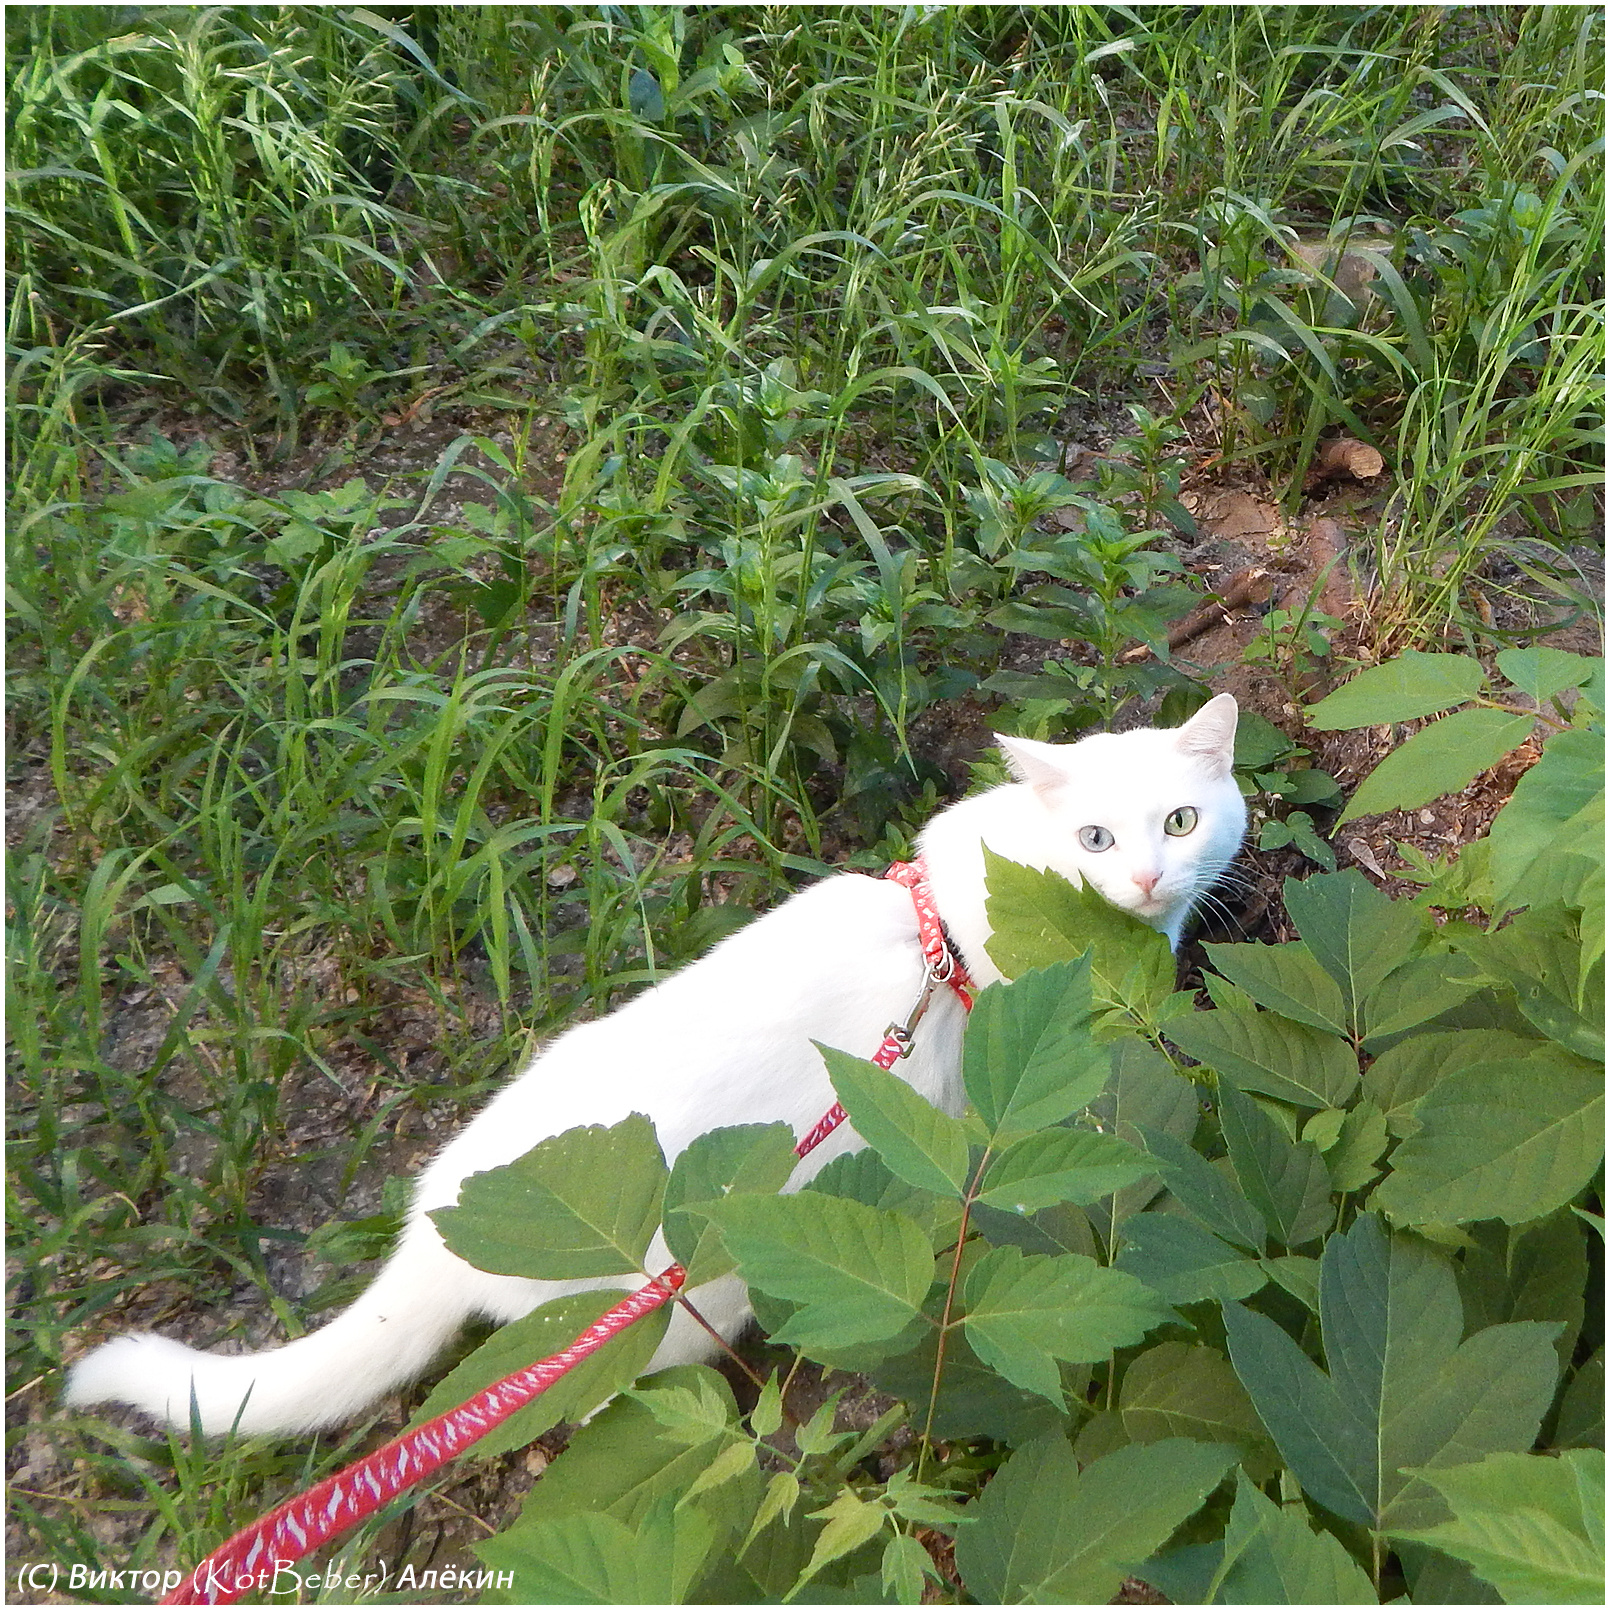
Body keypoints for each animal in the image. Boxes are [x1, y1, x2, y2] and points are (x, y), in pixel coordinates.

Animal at [64, 694, 1245, 1437]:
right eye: (1095, 839)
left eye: (1181, 821)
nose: (1147, 878)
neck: (962, 915)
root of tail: (431, 1222)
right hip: (669, 1313)